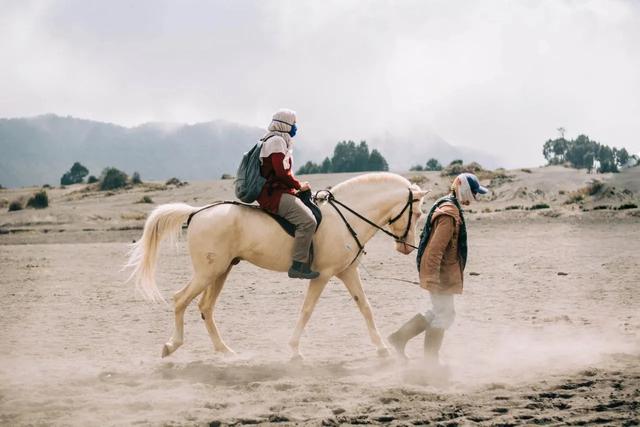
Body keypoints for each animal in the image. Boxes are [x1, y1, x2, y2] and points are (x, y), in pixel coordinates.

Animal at [125, 172, 428, 360]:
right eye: (417, 213)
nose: (406, 247)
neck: (345, 217)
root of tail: (196, 212)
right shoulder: (323, 276)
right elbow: (307, 311)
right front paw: (294, 350)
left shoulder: (346, 272)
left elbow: (365, 308)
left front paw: (382, 349)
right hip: (207, 272)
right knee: (180, 300)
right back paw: (171, 346)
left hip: (221, 271)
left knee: (205, 308)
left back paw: (224, 351)